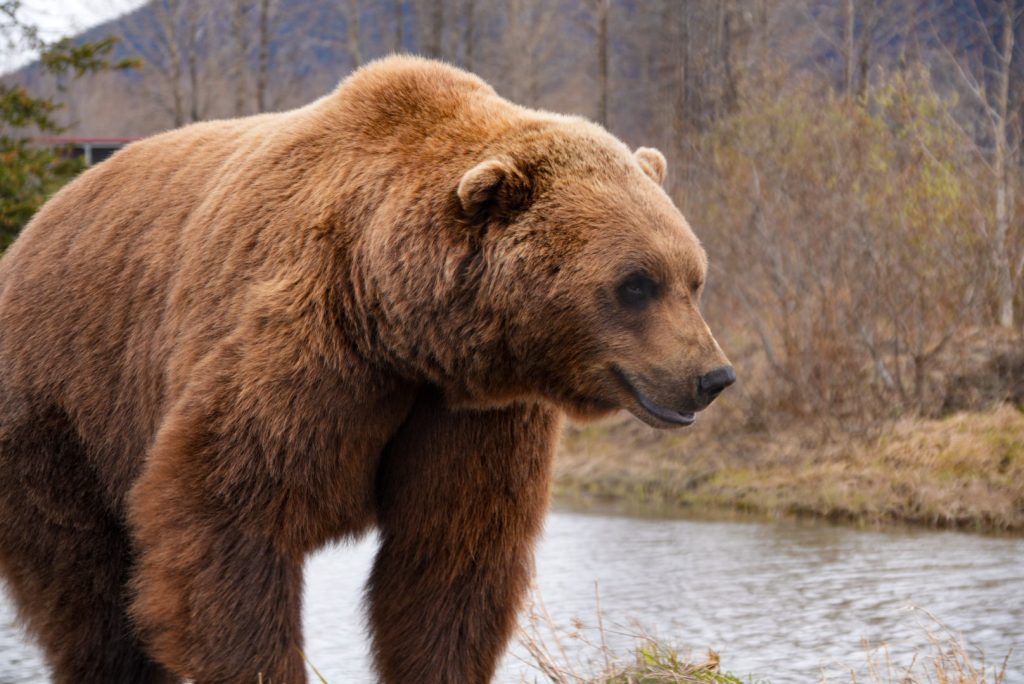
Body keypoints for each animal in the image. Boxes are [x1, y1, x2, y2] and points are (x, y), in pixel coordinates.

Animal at [0, 56, 733, 683]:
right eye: (635, 283)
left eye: (693, 278)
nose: (712, 376)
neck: (399, 319)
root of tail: (34, 227)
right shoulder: (303, 348)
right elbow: (225, 514)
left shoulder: (469, 412)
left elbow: (449, 558)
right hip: (67, 405)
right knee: (87, 587)